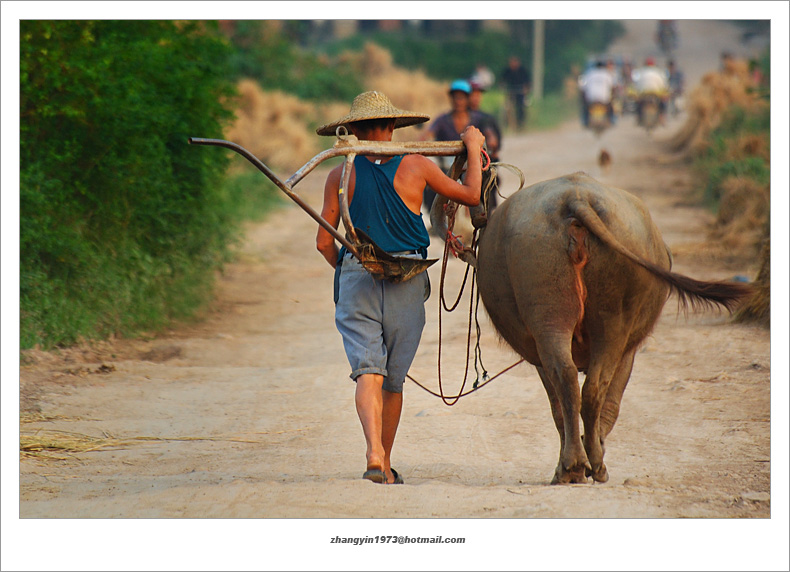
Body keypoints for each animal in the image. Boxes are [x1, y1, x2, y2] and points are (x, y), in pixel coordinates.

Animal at [470, 171, 756, 482]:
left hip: (552, 311)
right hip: (609, 323)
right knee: (592, 387)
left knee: (568, 379)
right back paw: (592, 464)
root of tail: (576, 198)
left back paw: (573, 465)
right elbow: (611, 402)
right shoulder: (628, 352)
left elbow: (565, 406)